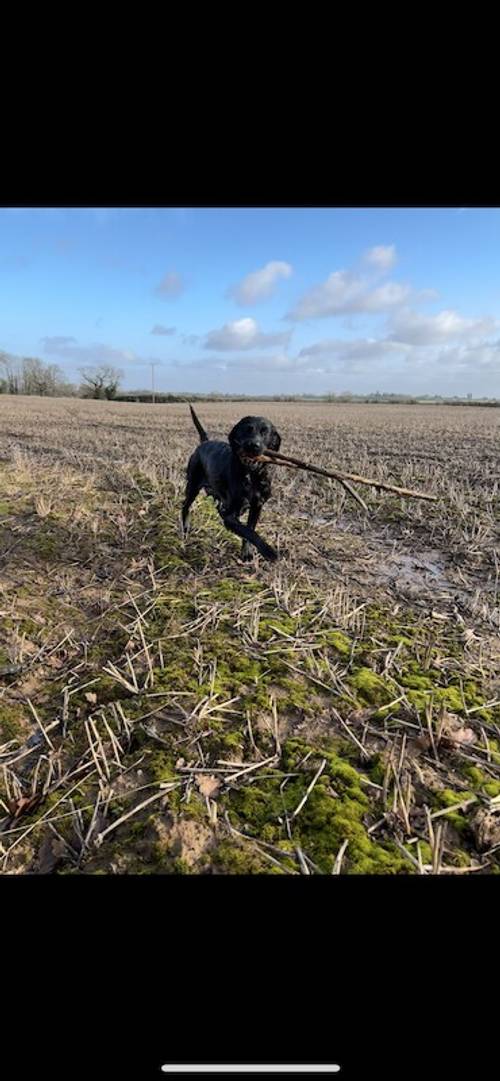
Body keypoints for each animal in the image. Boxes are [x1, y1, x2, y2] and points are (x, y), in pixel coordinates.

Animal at [181, 402, 280, 562]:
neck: (250, 475)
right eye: (247, 430)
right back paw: (185, 529)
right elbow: (248, 531)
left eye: (265, 432)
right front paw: (268, 550)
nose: (254, 445)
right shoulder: (229, 515)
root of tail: (205, 442)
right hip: (192, 486)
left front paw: (246, 553)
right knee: (185, 506)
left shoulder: (257, 506)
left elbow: (250, 529)